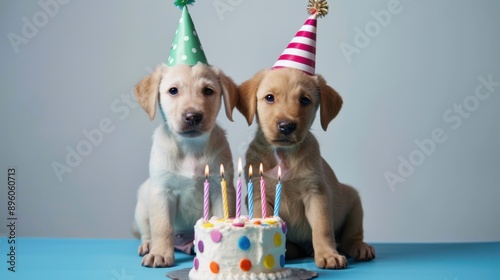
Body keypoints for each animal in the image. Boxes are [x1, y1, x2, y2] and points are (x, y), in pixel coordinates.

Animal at [133, 63, 238, 266]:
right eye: (173, 90)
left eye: (208, 91)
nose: (193, 116)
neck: (191, 148)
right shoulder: (162, 191)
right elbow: (162, 227)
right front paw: (160, 253)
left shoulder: (220, 189)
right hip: (142, 206)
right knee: (148, 231)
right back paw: (149, 245)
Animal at [236, 67, 374, 270]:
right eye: (269, 97)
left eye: (304, 100)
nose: (286, 126)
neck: (283, 155)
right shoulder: (258, 196)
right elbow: (262, 217)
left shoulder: (316, 194)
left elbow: (322, 228)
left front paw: (328, 254)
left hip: (355, 203)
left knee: (351, 237)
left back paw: (359, 247)